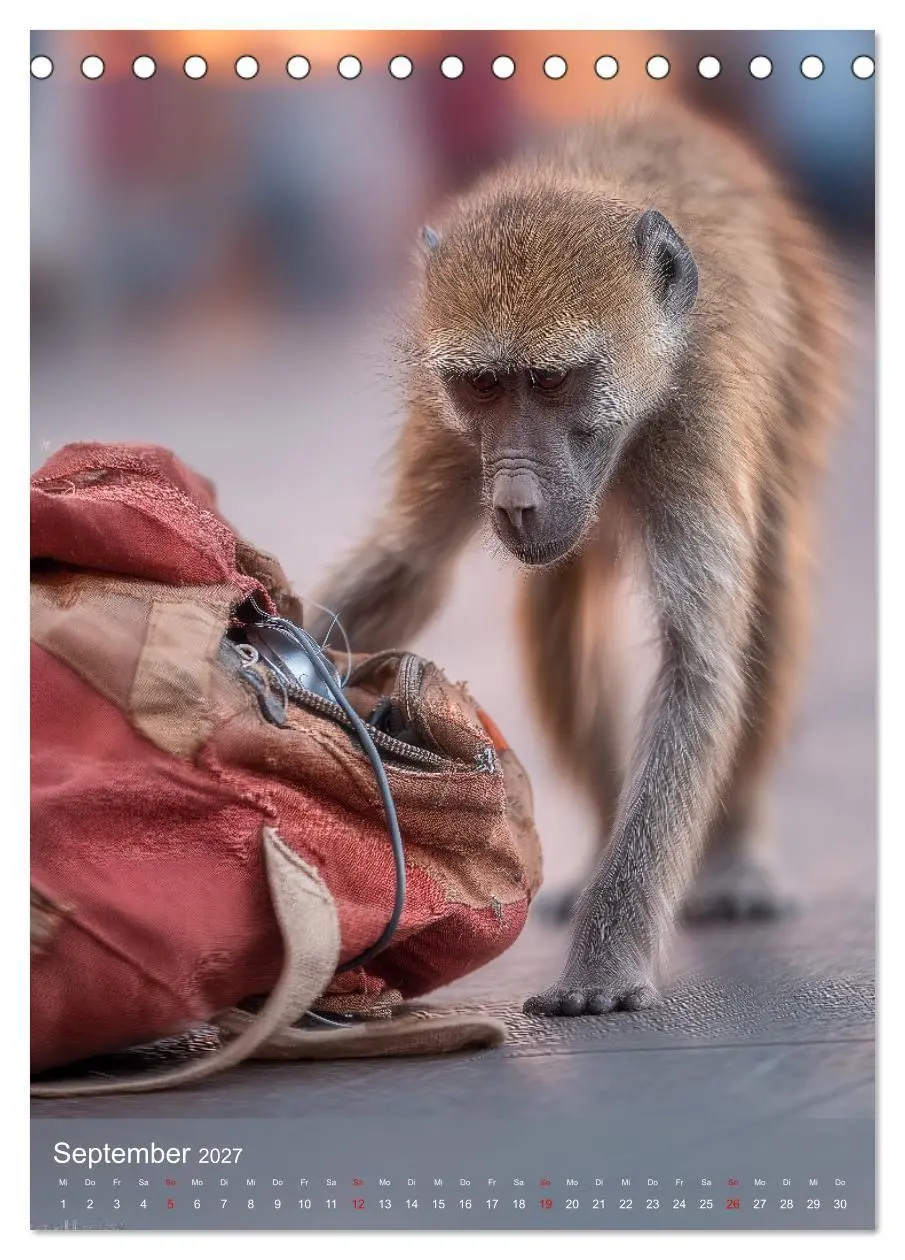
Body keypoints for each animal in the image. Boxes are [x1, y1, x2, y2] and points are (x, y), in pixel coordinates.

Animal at [310, 99, 847, 1017]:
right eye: (485, 386)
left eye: (552, 380)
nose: (515, 500)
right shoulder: (447, 427)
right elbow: (406, 570)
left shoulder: (698, 413)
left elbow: (698, 665)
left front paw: (605, 961)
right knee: (557, 612)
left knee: (767, 591)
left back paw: (734, 855)